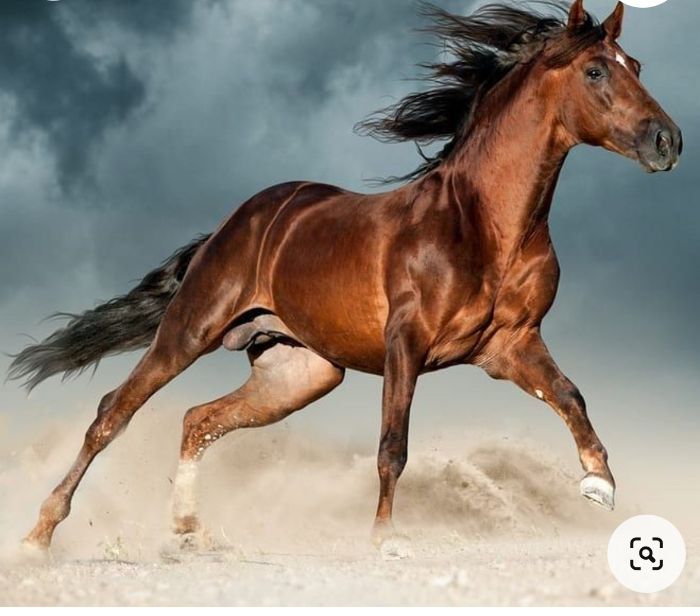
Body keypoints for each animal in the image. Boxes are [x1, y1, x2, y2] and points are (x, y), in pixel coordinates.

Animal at [9, 0, 682, 552]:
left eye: (636, 64)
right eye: (596, 72)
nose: (667, 141)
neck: (484, 224)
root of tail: (240, 221)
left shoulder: (509, 345)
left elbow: (570, 395)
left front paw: (599, 484)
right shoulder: (405, 343)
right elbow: (393, 446)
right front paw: (383, 540)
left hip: (299, 373)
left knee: (198, 420)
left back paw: (187, 531)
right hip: (191, 330)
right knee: (112, 413)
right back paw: (40, 534)